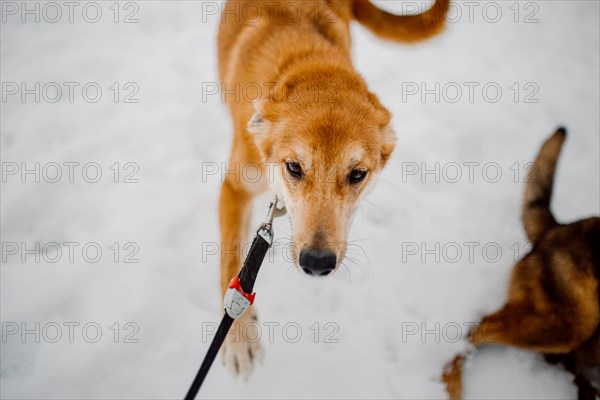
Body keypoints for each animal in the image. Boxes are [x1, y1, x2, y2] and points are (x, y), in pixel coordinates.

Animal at [216, 0, 450, 378]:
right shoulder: (235, 188)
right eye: (294, 168)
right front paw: (237, 338)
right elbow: (230, 262)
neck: (310, 65)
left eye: (357, 174)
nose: (316, 262)